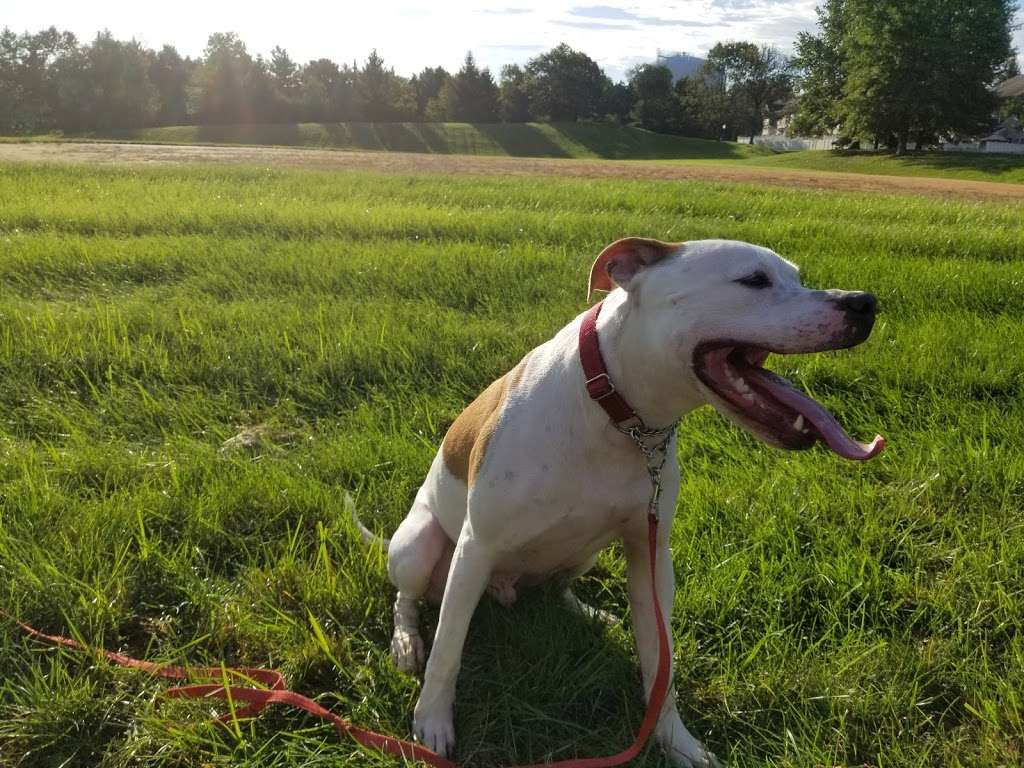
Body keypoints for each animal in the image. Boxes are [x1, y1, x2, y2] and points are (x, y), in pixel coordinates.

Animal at [372, 237, 884, 765]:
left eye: (798, 278)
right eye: (754, 280)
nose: (864, 303)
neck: (617, 412)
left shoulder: (650, 556)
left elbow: (661, 664)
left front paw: (675, 740)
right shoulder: (477, 548)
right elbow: (448, 649)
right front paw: (432, 723)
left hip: (583, 553)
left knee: (555, 586)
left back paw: (587, 611)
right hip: (419, 548)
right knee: (407, 597)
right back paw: (406, 643)